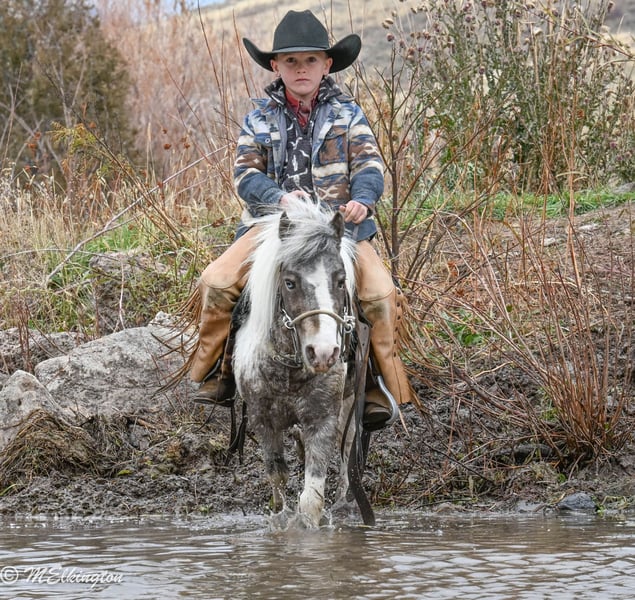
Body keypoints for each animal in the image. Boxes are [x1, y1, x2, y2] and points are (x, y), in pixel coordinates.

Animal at [232, 198, 368, 528]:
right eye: (290, 282)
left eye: (341, 281)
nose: (323, 352)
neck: (289, 370)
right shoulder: (263, 421)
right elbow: (277, 478)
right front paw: (282, 521)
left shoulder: (323, 420)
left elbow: (312, 497)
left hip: (349, 406)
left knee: (346, 454)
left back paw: (344, 504)